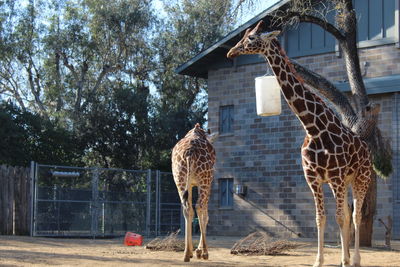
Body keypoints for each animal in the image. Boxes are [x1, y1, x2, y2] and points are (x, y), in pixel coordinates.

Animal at [171, 124, 216, 262]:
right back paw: (205, 252)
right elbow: (206, 216)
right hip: (205, 180)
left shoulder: (190, 184)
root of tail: (189, 152)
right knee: (199, 206)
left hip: (179, 178)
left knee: (187, 208)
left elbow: (190, 212)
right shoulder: (209, 182)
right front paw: (199, 251)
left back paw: (186, 254)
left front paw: (192, 251)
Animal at [228, 21, 372, 267]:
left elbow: (340, 217)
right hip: (342, 182)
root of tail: (368, 151)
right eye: (244, 37)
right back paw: (344, 257)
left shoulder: (335, 176)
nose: (231, 52)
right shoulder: (313, 177)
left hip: (360, 178)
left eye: (251, 38)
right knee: (346, 213)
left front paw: (342, 260)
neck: (313, 128)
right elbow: (320, 217)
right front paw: (319, 260)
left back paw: (354, 259)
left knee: (355, 215)